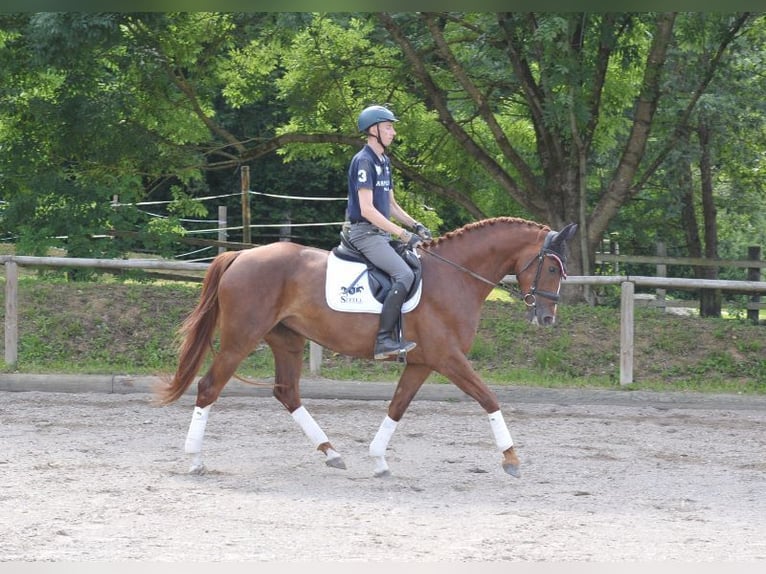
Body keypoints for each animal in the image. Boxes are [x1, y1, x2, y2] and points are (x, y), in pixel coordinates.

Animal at [156, 218, 576, 480]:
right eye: (552, 268)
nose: (547, 318)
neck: (454, 276)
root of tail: (240, 254)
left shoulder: (423, 362)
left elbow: (397, 406)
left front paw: (378, 461)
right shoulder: (448, 358)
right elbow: (489, 398)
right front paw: (512, 459)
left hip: (286, 340)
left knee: (287, 392)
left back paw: (332, 453)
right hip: (241, 338)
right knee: (209, 387)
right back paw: (195, 462)